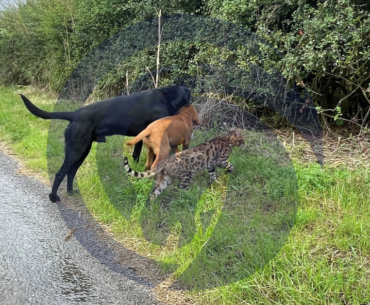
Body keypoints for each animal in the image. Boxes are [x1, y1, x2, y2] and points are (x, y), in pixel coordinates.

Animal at [21, 84, 191, 202]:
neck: (166, 97)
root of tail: (74, 114)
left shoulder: (141, 138)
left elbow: (137, 155)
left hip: (82, 151)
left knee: (70, 173)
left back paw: (70, 192)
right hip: (77, 150)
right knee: (60, 173)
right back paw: (53, 197)